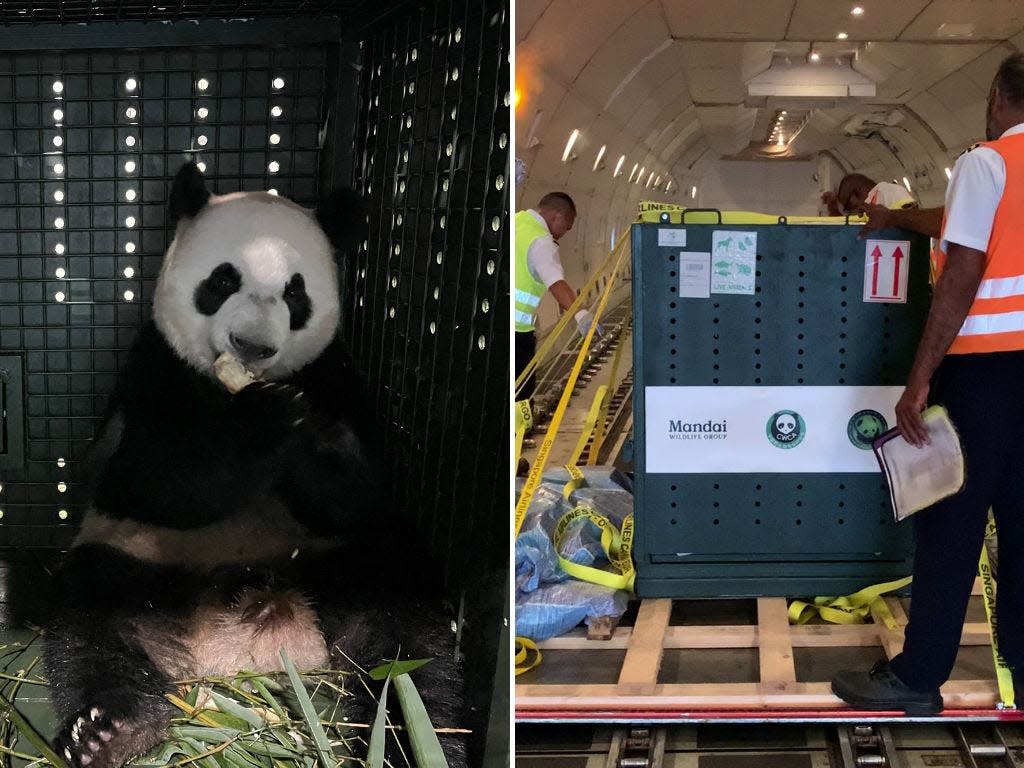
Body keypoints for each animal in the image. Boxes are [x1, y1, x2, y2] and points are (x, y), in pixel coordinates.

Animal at [44, 165, 466, 768]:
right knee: (90, 623)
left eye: (295, 291)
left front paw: (303, 432)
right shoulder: (153, 371)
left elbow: (363, 490)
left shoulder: (336, 374)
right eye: (222, 281)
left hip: (340, 565)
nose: (253, 346)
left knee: (405, 633)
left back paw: (410, 732)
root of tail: (241, 650)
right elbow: (145, 482)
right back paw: (110, 729)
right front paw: (260, 422)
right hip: (141, 562)